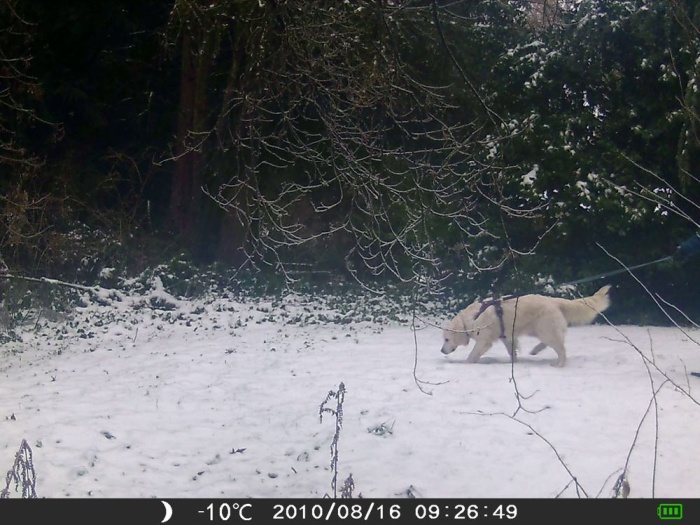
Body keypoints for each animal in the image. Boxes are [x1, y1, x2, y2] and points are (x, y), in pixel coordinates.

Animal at [440, 284, 608, 366]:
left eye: (447, 339)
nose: (442, 351)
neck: (471, 319)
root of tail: (554, 300)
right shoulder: (507, 337)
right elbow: (512, 352)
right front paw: (513, 363)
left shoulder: (484, 341)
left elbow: (472, 355)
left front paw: (467, 364)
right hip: (541, 331)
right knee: (550, 343)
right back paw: (535, 350)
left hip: (545, 330)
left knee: (561, 350)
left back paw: (558, 365)